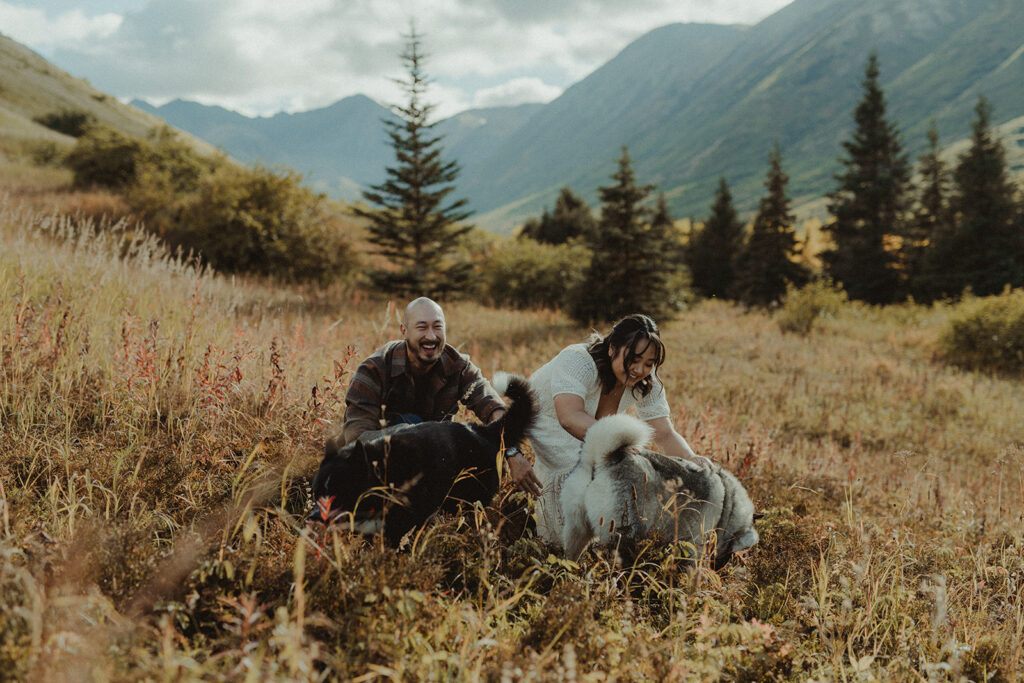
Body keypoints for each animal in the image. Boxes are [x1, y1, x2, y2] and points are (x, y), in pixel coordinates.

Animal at [309, 374, 536, 544]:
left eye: (337, 492)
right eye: (317, 492)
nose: (313, 517)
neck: (381, 471)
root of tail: (484, 431)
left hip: (470, 499)